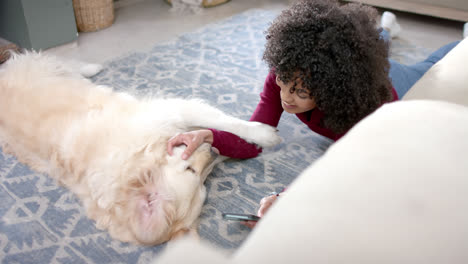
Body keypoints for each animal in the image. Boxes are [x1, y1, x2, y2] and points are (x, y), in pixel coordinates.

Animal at [0, 51, 282, 245]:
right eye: (195, 175)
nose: (211, 153)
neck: (137, 158)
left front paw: (261, 133)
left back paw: (92, 67)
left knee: (68, 63)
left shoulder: (171, 112)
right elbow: (219, 131)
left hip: (50, 67)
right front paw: (249, 142)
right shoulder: (173, 117)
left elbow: (223, 122)